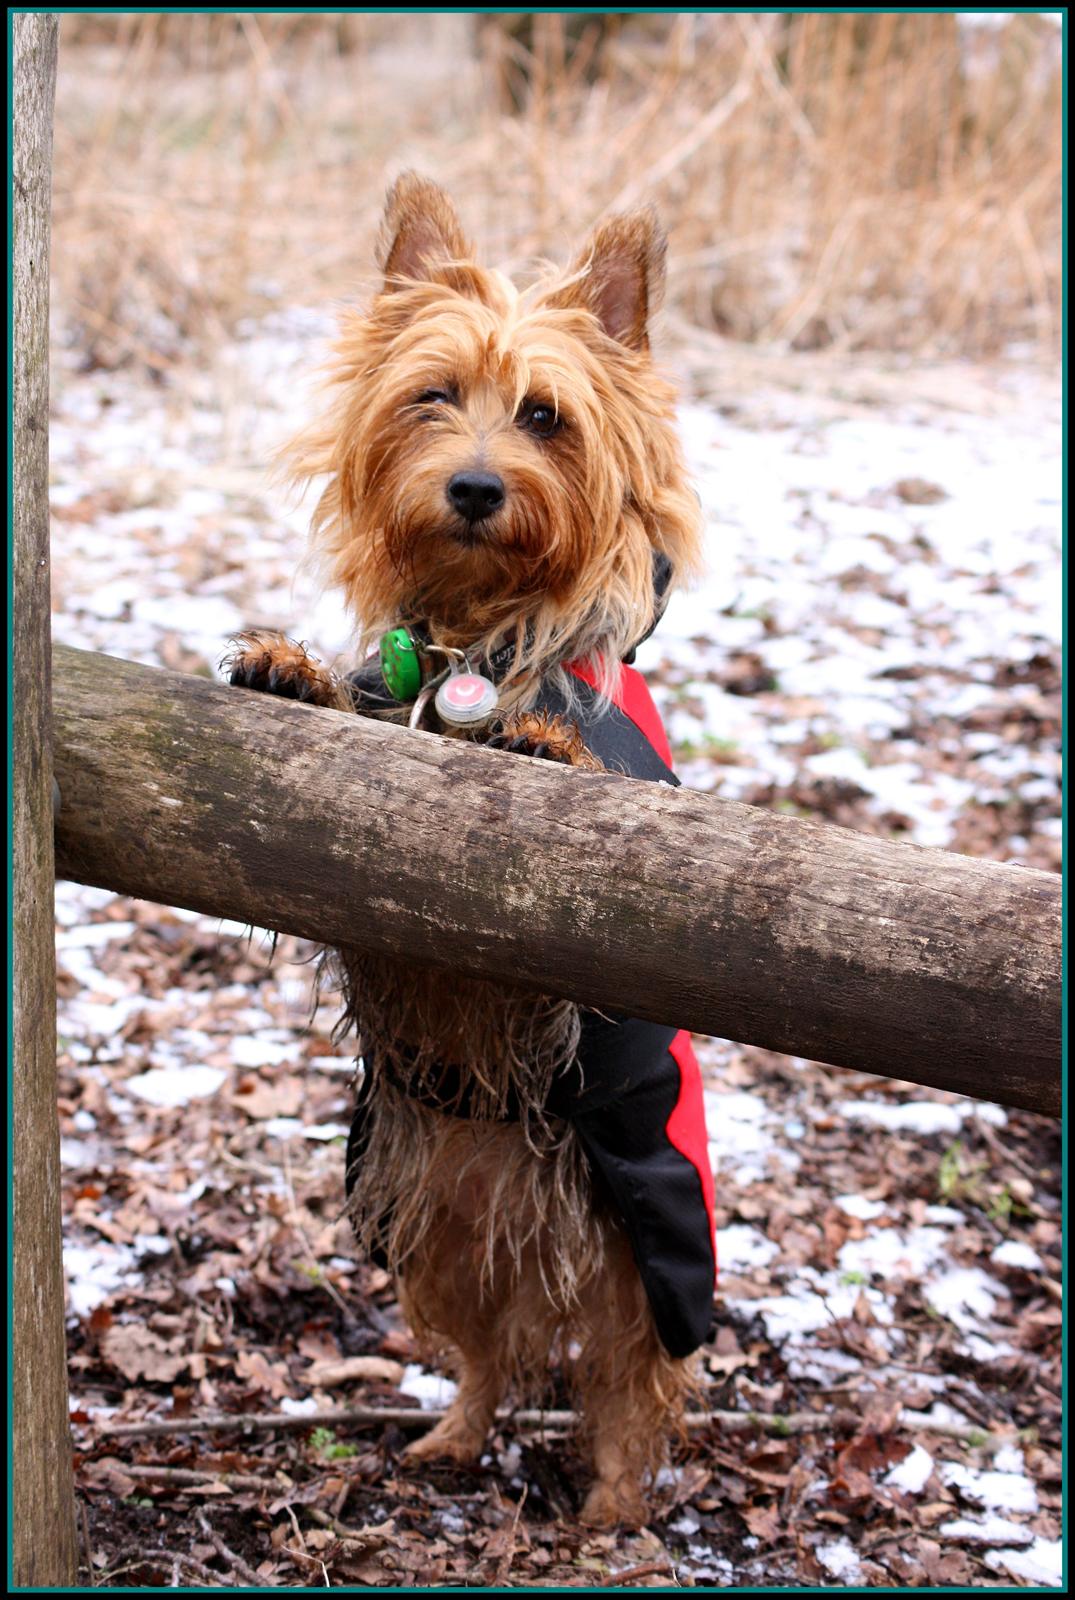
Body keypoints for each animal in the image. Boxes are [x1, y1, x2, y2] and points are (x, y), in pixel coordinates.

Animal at [227, 175, 713, 1523]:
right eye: (432, 396)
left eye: (545, 417)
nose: (477, 490)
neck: (474, 638)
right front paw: (289, 672)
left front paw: (543, 746)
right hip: (424, 1219)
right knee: (486, 1351)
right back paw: (453, 1434)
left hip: (638, 1253)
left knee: (629, 1384)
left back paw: (613, 1509)